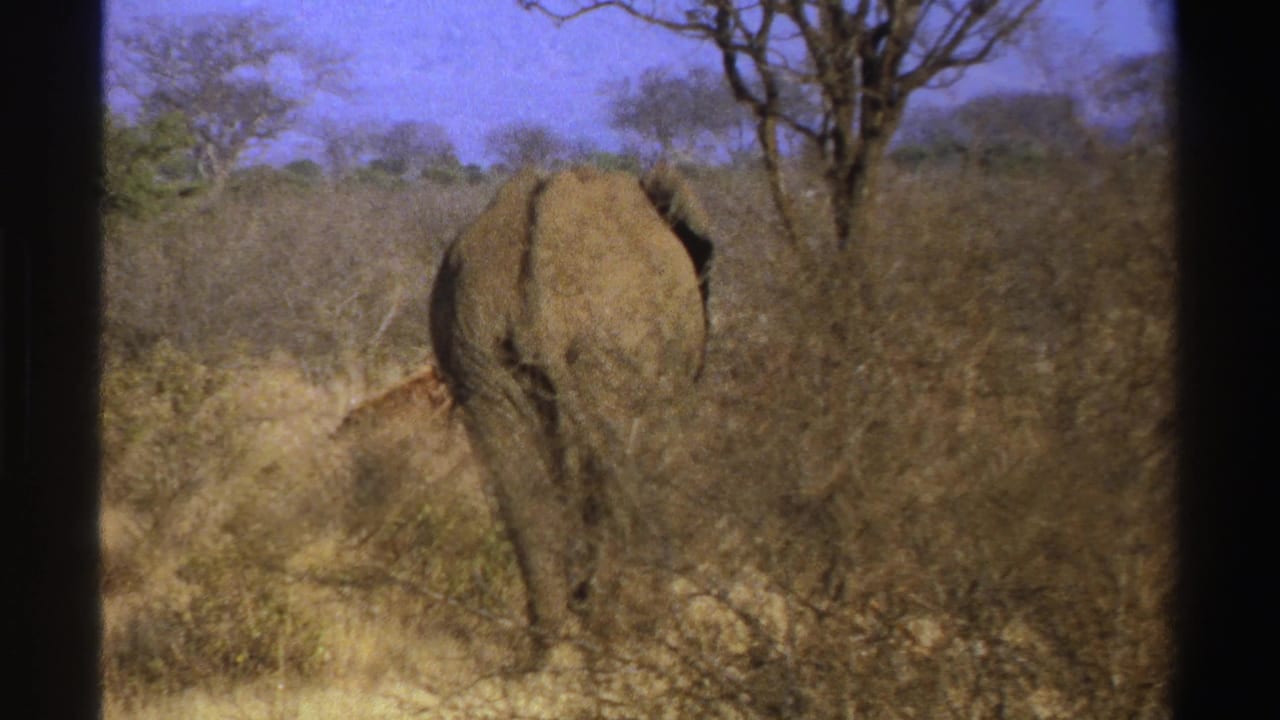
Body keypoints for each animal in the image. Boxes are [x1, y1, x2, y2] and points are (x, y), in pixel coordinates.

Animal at [428, 164, 713, 664]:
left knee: (517, 476)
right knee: (615, 466)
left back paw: (545, 649)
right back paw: (603, 639)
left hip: (476, 339)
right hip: (613, 339)